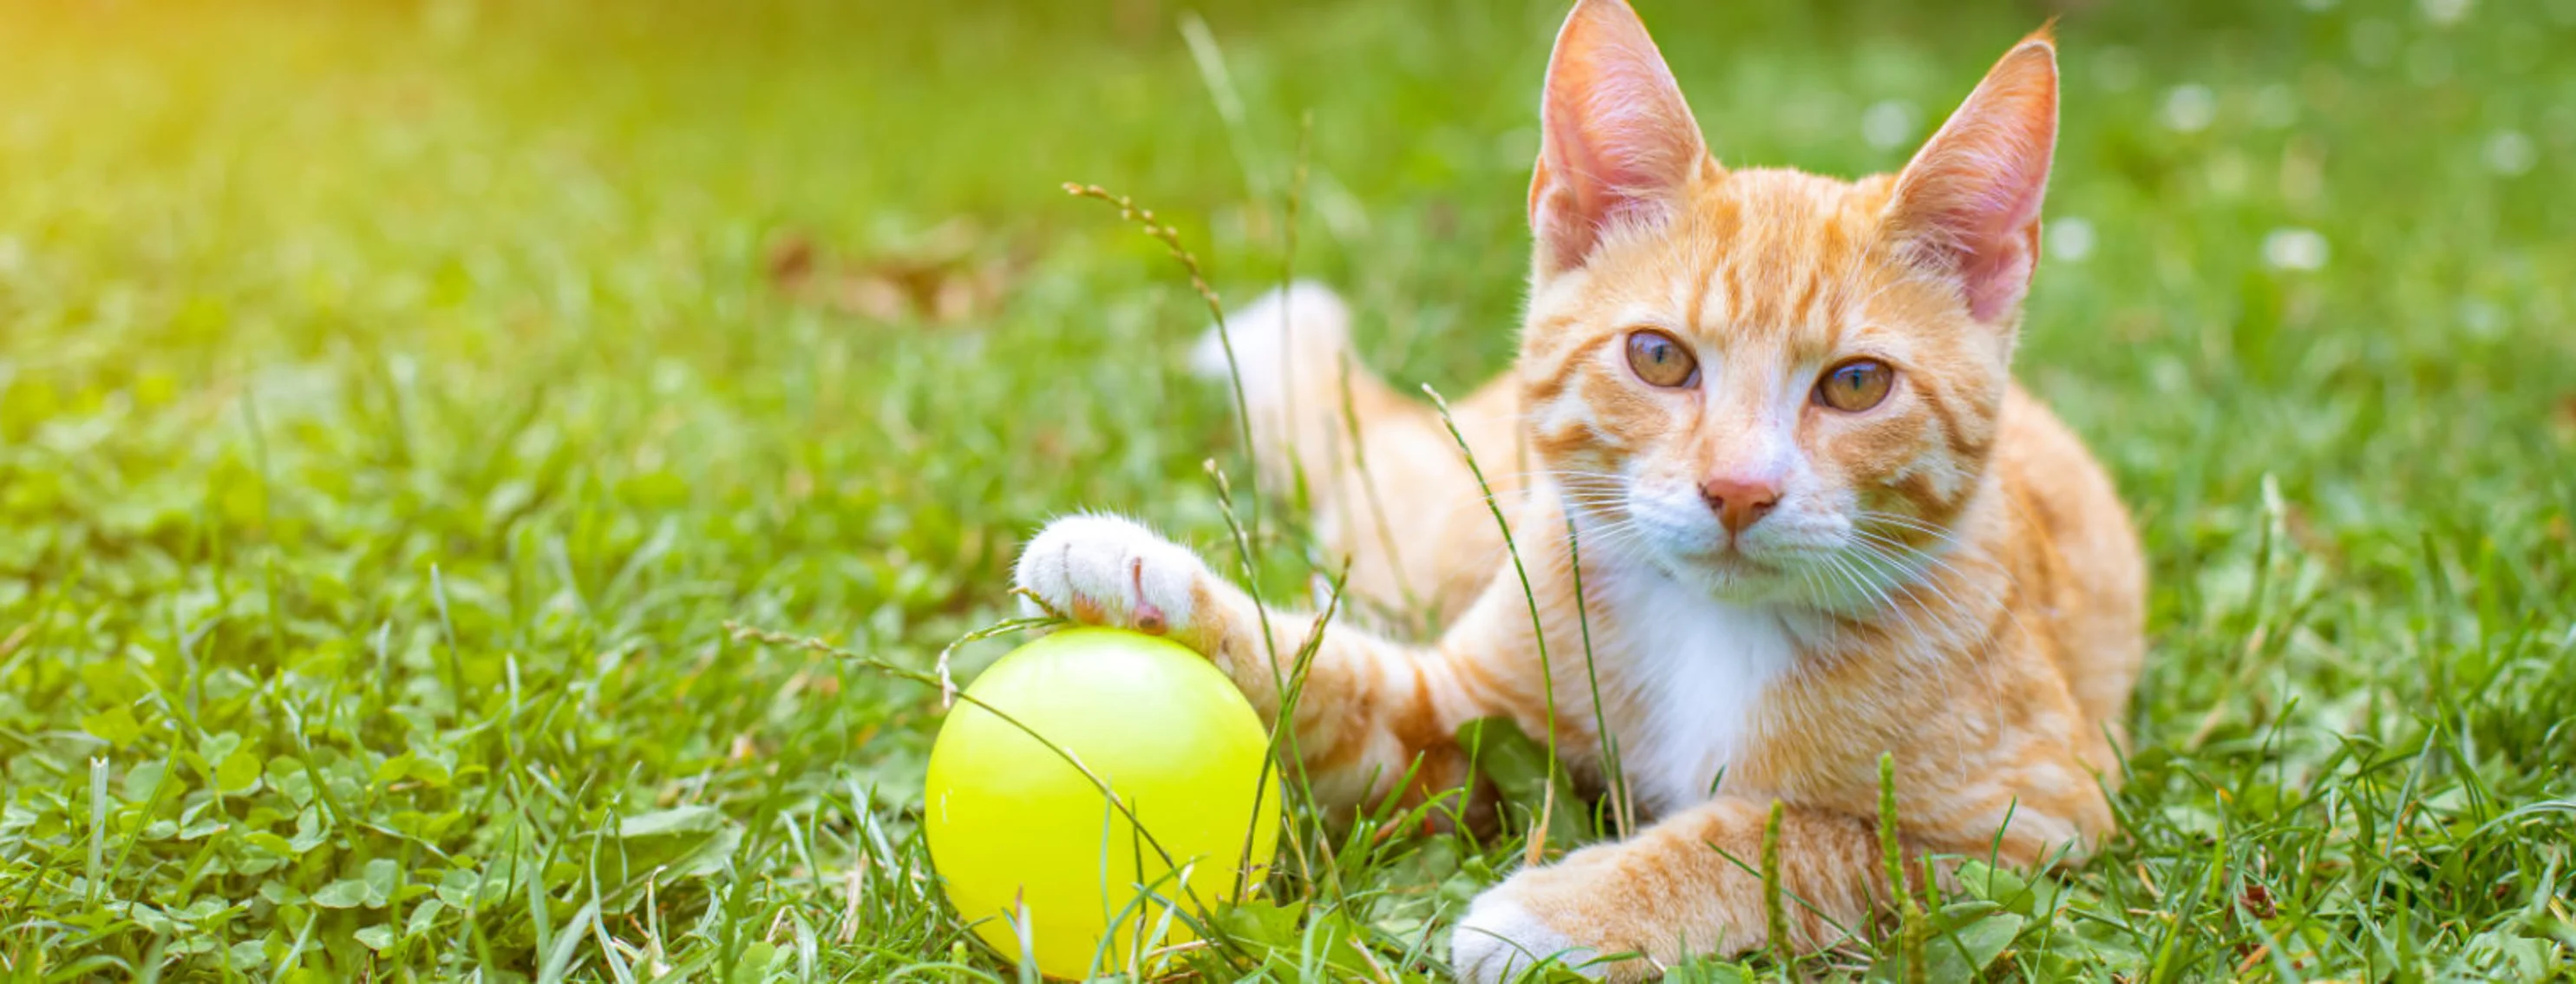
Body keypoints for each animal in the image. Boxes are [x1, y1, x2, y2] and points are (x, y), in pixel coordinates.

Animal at [1015, 2, 2143, 979]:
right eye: (1659, 357)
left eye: (1857, 384)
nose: (1738, 489)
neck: (1714, 631)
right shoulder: (1456, 722)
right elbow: (1328, 684)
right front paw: (1140, 579)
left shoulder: (2031, 825)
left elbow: (1792, 837)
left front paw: (1561, 911)